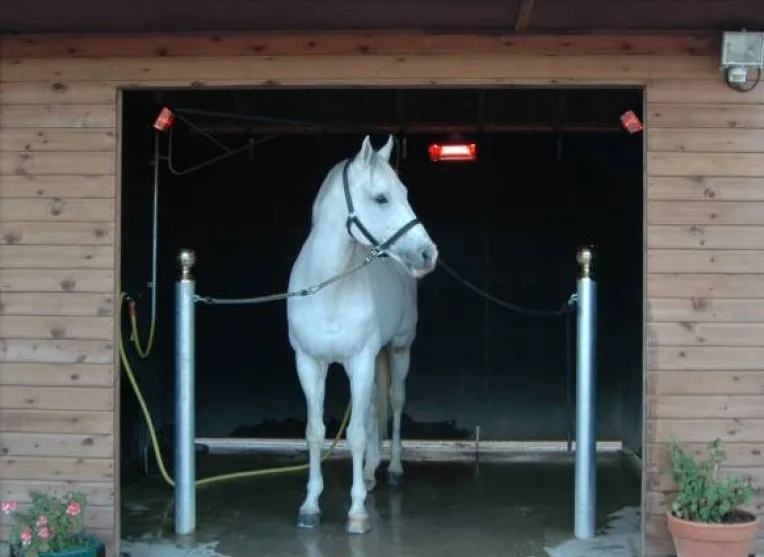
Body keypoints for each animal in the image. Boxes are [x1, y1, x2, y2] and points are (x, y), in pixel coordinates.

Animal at [286, 134, 439, 535]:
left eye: (405, 192)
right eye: (381, 197)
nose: (428, 253)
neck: (327, 288)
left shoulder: (362, 360)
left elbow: (353, 434)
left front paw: (356, 513)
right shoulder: (308, 364)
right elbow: (315, 431)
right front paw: (310, 506)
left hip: (397, 350)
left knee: (395, 403)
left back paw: (393, 470)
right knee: (370, 409)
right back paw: (369, 474)